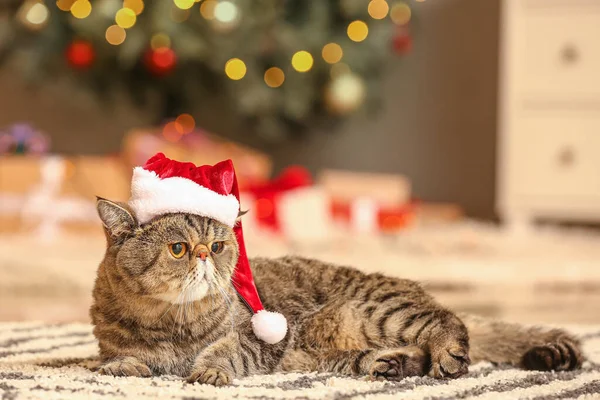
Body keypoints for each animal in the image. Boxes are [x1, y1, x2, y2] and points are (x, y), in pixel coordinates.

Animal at [91, 198, 584, 386]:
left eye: (217, 246)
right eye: (178, 248)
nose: (204, 256)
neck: (168, 324)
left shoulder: (260, 338)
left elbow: (226, 352)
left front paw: (209, 370)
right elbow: (120, 359)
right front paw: (123, 367)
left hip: (374, 311)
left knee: (449, 322)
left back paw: (446, 355)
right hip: (330, 350)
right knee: (388, 356)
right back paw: (393, 365)